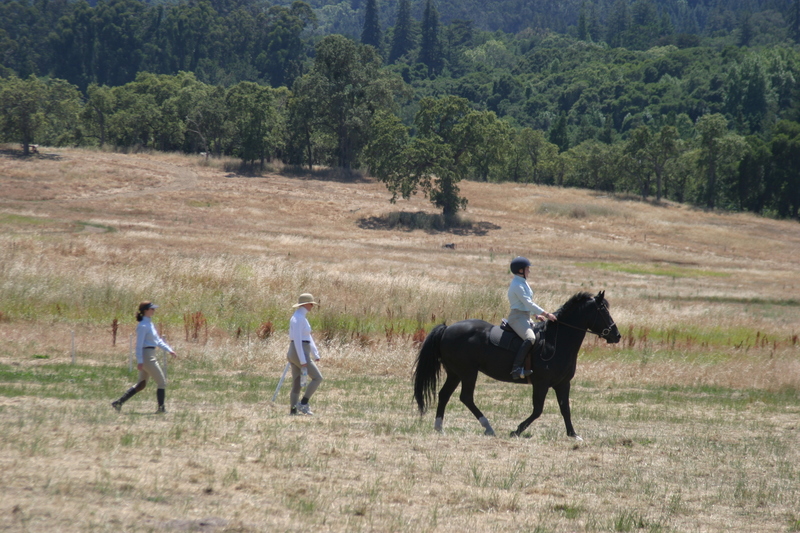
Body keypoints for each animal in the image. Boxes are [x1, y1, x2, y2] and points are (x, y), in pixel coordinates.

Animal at [413, 291, 621, 439]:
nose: (616, 335)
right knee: (466, 397)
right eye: (603, 310)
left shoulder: (563, 383)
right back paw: (488, 427)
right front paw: (517, 431)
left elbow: (565, 409)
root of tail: (448, 328)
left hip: (455, 373)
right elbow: (538, 410)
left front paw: (573, 434)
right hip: (467, 373)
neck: (557, 341)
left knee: (444, 395)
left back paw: (440, 427)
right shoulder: (541, 383)